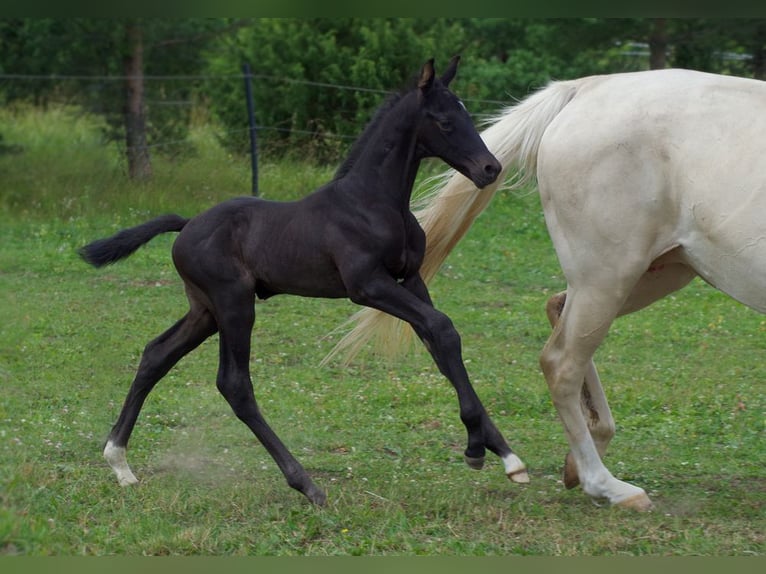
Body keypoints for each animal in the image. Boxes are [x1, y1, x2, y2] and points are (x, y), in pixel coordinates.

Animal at [330, 68, 766, 512]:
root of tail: (585, 87)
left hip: (654, 273)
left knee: (557, 312)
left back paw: (579, 462)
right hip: (610, 278)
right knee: (562, 362)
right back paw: (606, 485)